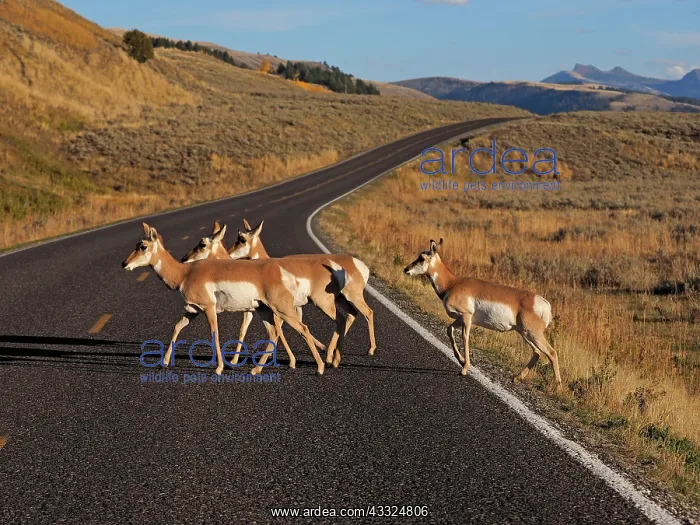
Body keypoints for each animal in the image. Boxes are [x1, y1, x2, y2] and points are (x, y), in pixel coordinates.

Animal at [122, 223, 327, 375]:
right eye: (136, 245)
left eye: (143, 246)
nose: (124, 263)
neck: (185, 273)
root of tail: (277, 269)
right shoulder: (192, 311)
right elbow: (177, 328)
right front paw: (163, 362)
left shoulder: (209, 309)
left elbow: (215, 335)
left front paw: (219, 368)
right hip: (264, 311)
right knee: (274, 333)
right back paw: (256, 370)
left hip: (281, 309)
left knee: (302, 328)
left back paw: (320, 367)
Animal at [183, 220, 376, 370]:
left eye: (242, 239)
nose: (185, 259)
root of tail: (357, 263)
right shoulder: (254, 310)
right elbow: (244, 330)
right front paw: (236, 360)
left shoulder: (279, 309)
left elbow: (281, 331)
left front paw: (290, 360)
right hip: (341, 299)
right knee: (351, 315)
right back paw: (333, 357)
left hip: (340, 299)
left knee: (364, 313)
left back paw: (358, 352)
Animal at [404, 239, 562, 388]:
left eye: (421, 258)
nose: (406, 269)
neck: (452, 283)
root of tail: (543, 302)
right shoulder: (460, 318)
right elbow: (449, 330)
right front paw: (461, 360)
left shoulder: (466, 317)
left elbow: (465, 337)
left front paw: (464, 368)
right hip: (524, 332)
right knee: (537, 352)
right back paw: (517, 378)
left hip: (532, 333)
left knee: (551, 352)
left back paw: (558, 387)